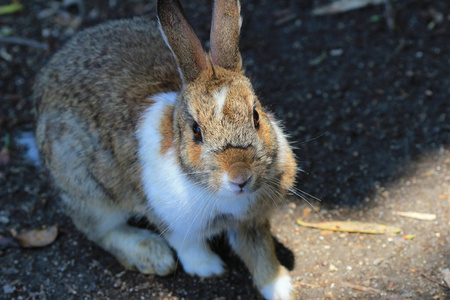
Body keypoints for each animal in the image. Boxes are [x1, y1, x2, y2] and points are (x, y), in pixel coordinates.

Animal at [33, 0, 298, 300]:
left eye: (256, 116)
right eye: (196, 131)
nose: (240, 177)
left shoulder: (252, 222)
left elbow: (260, 252)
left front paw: (280, 288)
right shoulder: (166, 216)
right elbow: (187, 245)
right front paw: (209, 268)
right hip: (87, 189)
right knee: (99, 230)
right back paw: (153, 255)